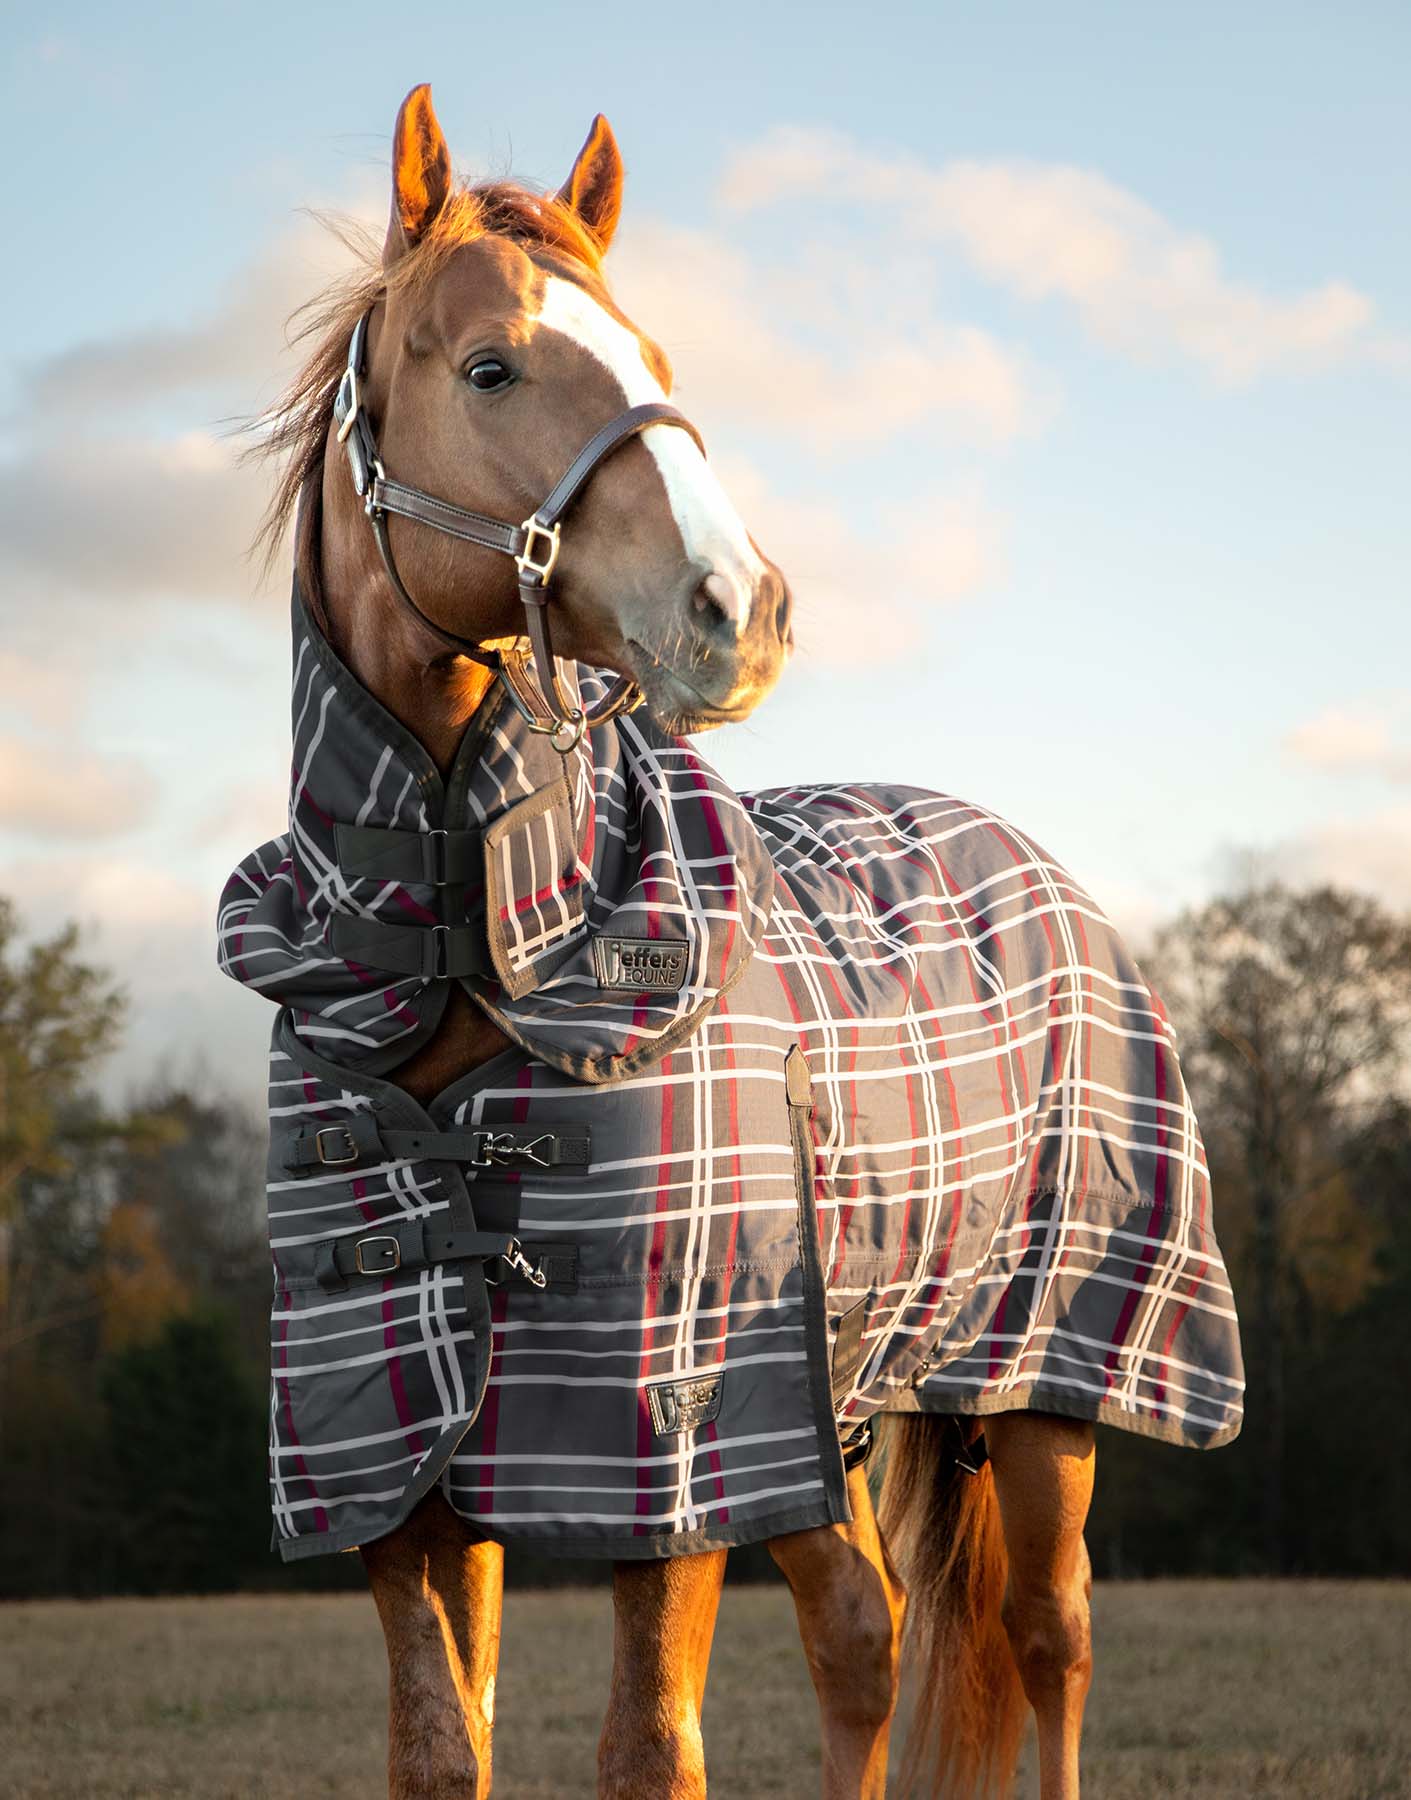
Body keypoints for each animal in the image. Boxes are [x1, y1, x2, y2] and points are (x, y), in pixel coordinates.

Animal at [235, 84, 1238, 1800]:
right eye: (490, 365)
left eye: (655, 357)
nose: (740, 608)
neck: (468, 942)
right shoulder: (409, 1478)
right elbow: (443, 1746)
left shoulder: (677, 1458)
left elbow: (651, 1749)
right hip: (833, 1405)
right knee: (864, 1637)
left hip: (1046, 1380)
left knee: (1046, 1641)